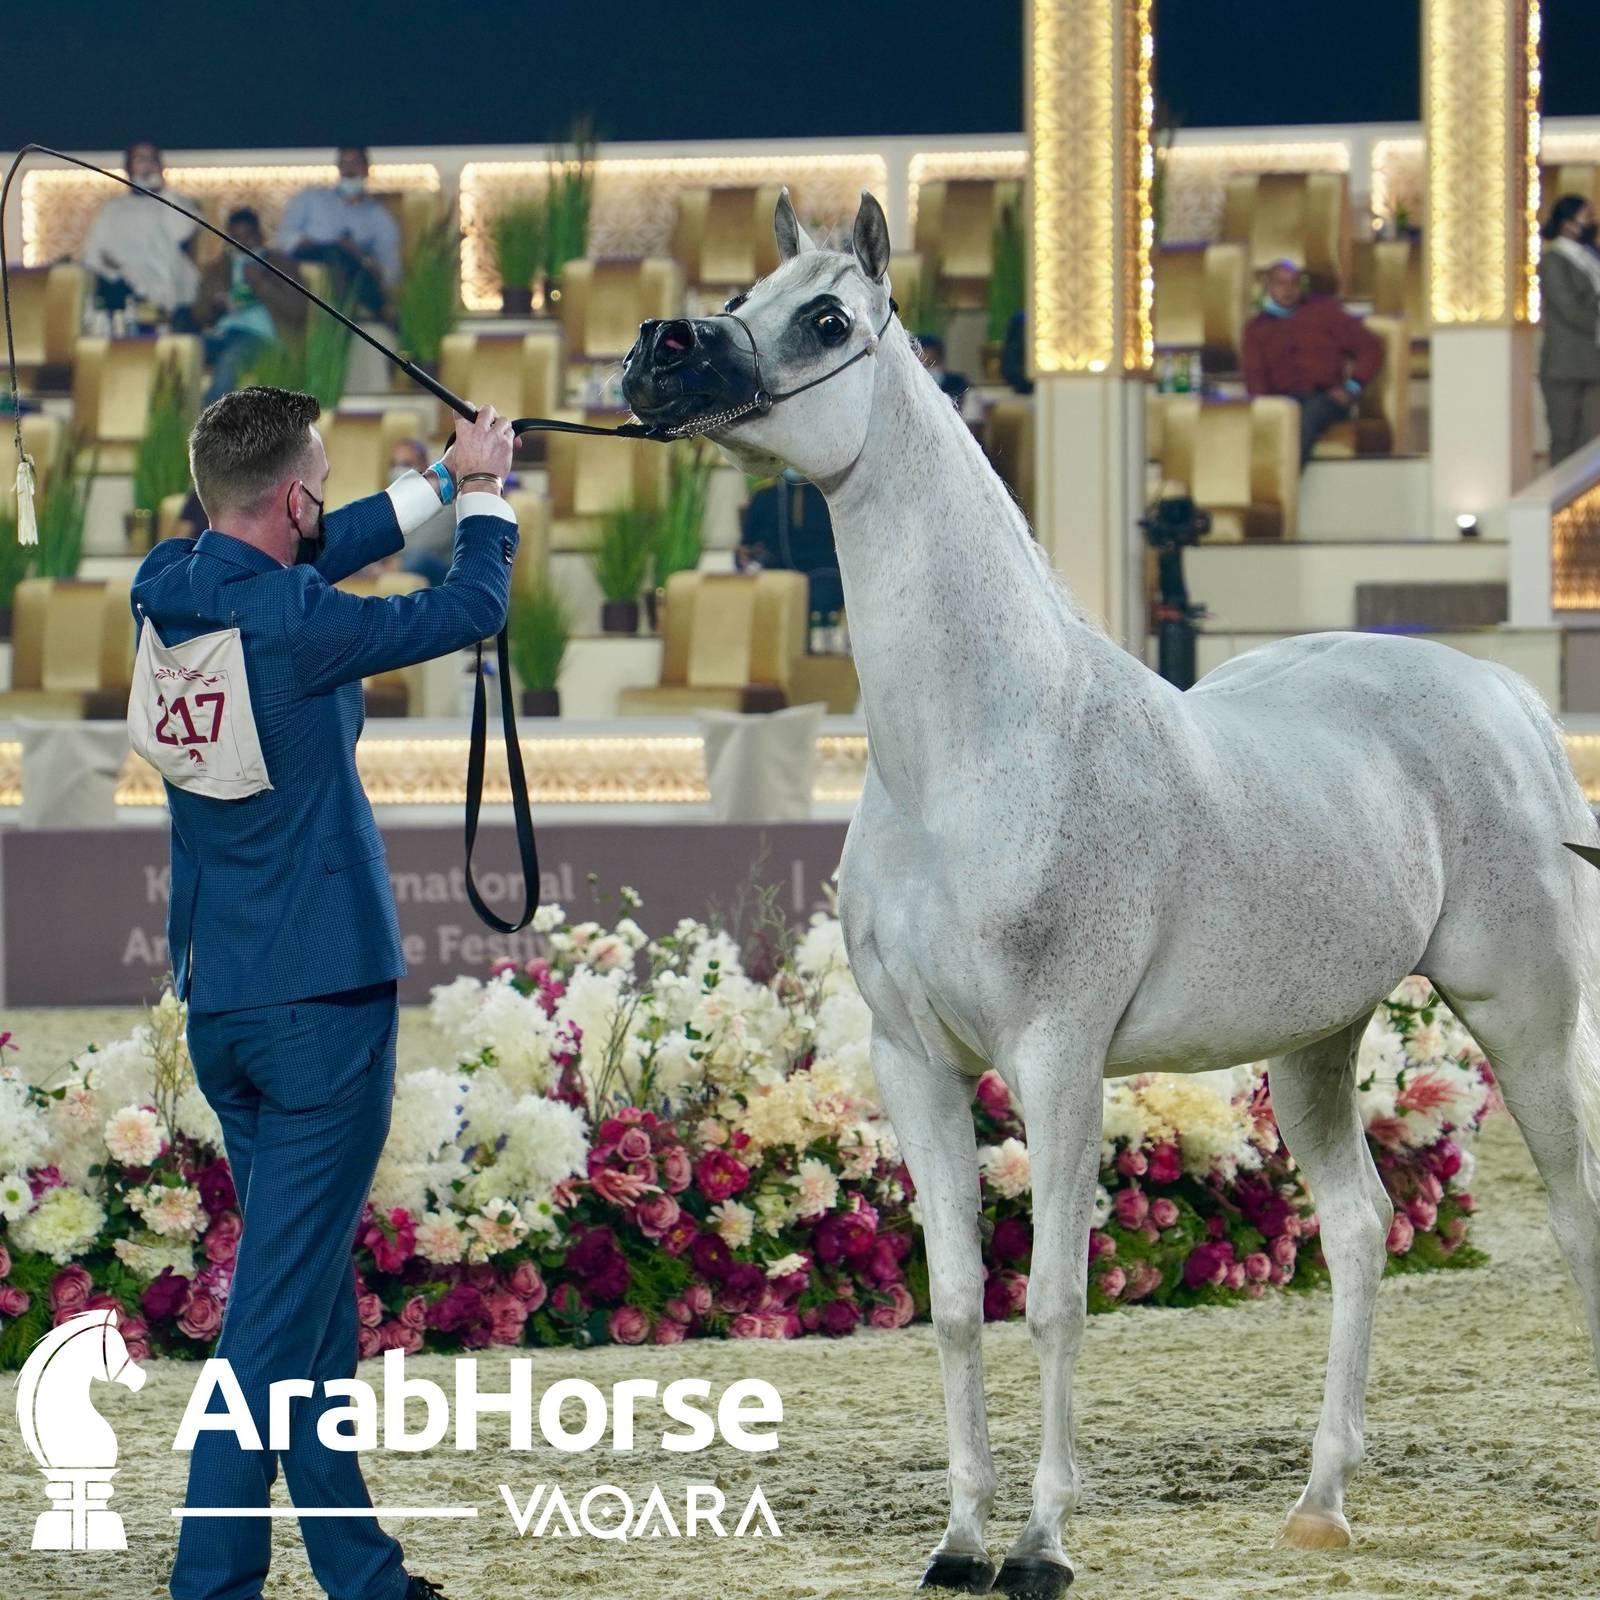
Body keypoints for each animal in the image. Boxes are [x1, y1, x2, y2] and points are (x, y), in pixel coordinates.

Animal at [622, 189, 1600, 1598]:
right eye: (742, 294)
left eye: (826, 318)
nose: (659, 355)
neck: (979, 746)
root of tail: (1507, 693)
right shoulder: (917, 1063)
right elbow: (958, 1304)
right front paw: (959, 1541)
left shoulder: (1057, 1057)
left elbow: (1053, 1301)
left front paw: (1039, 1545)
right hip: (1315, 1043)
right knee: (1360, 1228)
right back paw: (1319, 1504)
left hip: (1524, 1014)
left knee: (1576, 1221)